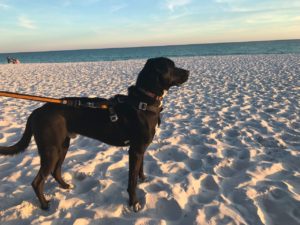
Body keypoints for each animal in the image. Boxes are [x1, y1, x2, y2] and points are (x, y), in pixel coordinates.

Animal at [0, 57, 188, 212]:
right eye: (171, 66)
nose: (188, 72)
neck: (142, 101)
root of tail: (37, 111)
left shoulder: (140, 149)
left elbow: (139, 171)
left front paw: (143, 179)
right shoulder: (135, 150)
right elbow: (131, 181)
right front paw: (134, 203)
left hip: (63, 146)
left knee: (55, 171)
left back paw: (65, 186)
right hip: (50, 150)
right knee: (37, 181)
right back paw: (45, 204)